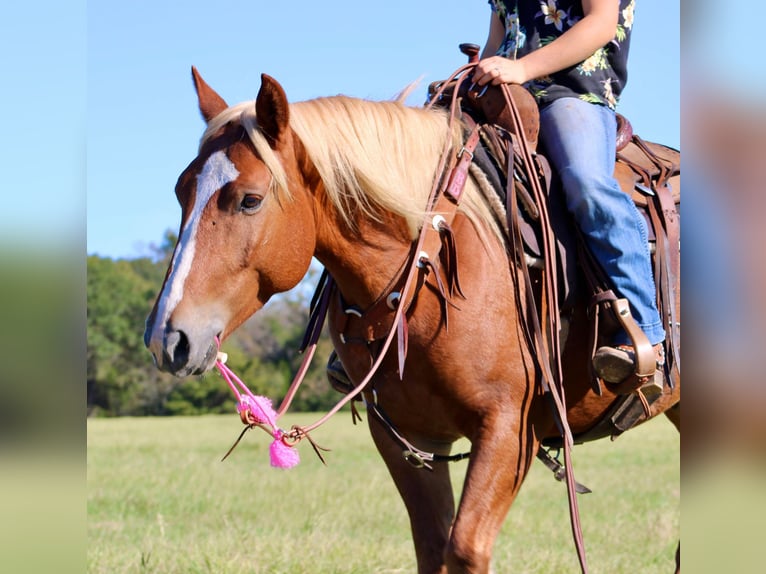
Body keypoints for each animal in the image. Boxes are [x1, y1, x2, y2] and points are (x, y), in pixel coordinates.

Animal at [146, 68, 684, 574]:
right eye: (179, 191)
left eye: (250, 199)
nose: (167, 339)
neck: (428, 265)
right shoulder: (406, 437)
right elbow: (433, 549)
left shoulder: (509, 430)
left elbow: (465, 549)